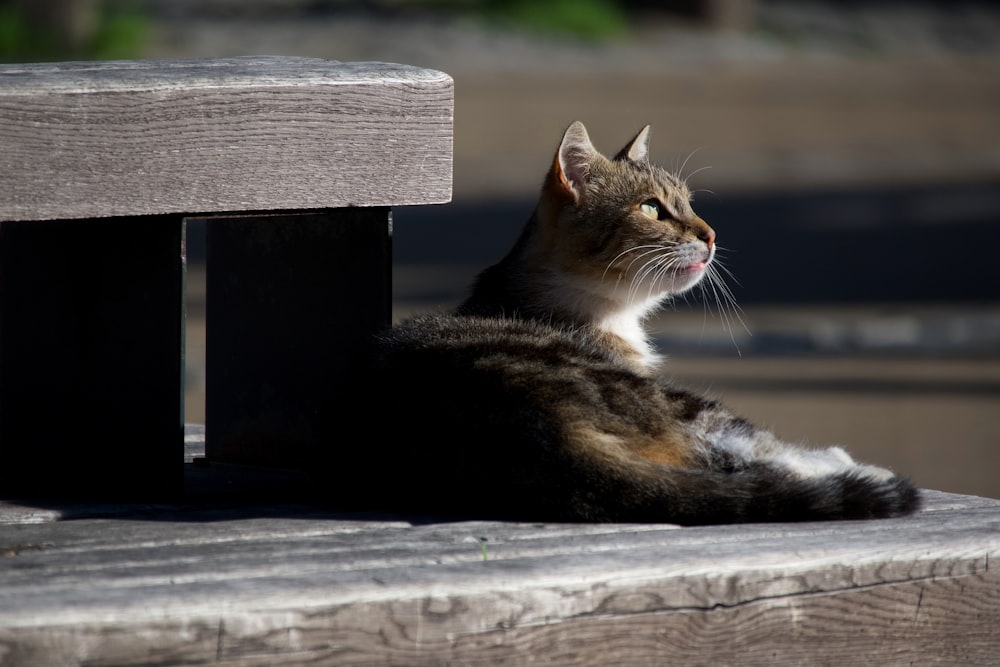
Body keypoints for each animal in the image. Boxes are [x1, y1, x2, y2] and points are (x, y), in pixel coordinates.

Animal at [324, 121, 916, 528]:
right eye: (652, 209)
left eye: (689, 204)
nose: (711, 234)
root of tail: (548, 440)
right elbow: (752, 442)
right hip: (664, 402)